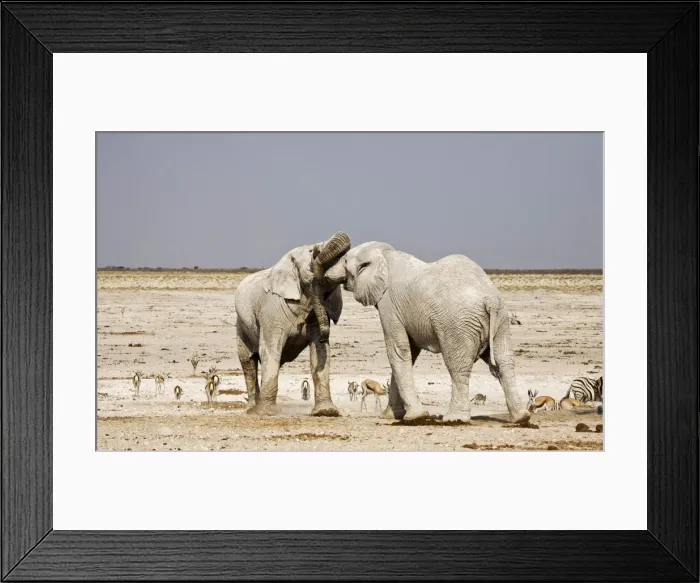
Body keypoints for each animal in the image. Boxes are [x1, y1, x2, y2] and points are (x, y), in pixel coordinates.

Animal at [235, 232, 351, 416]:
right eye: (313, 252)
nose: (317, 250)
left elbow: (320, 352)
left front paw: (326, 412)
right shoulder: (271, 311)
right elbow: (270, 350)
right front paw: (266, 413)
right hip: (241, 325)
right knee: (248, 361)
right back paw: (252, 409)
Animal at [340, 241, 530, 424]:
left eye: (345, 260)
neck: (384, 254)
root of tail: (490, 300)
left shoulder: (389, 304)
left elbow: (398, 351)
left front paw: (415, 417)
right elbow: (410, 352)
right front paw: (391, 416)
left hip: (458, 323)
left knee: (458, 366)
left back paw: (455, 418)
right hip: (501, 321)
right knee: (504, 362)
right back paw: (521, 417)